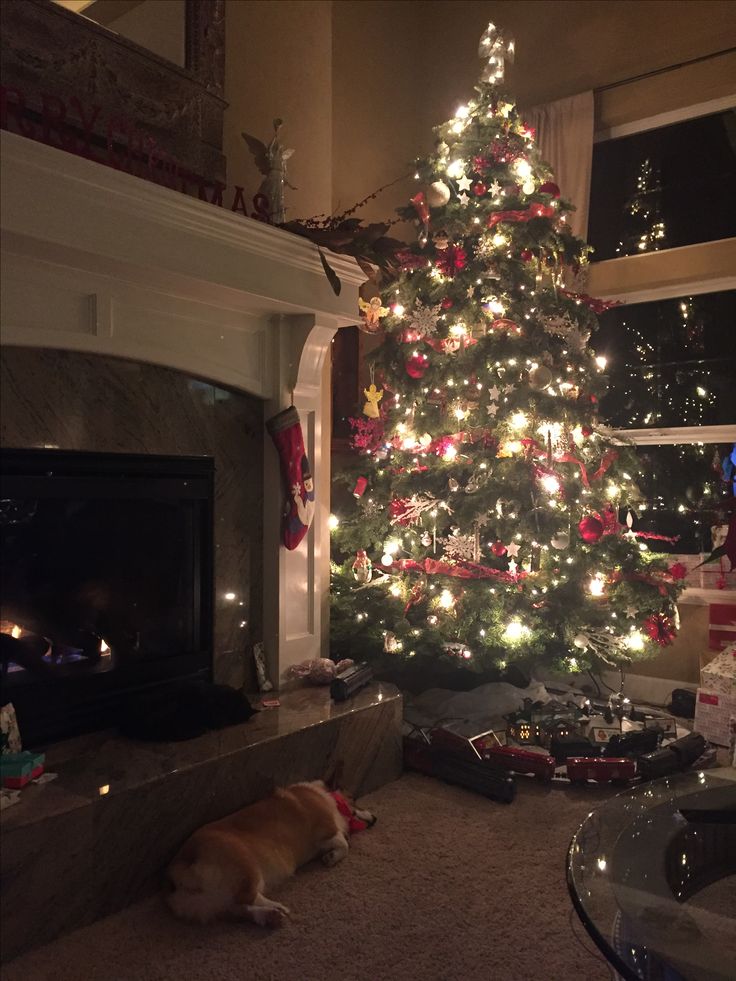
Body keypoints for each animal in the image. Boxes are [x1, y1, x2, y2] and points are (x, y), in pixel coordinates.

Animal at [166, 780, 374, 928]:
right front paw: (332, 857)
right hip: (247, 867)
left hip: (208, 903)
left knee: (236, 908)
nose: (376, 818)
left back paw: (268, 917)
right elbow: (344, 843)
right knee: (248, 897)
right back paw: (275, 907)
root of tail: (182, 864)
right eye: (354, 799)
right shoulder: (328, 831)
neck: (328, 797)